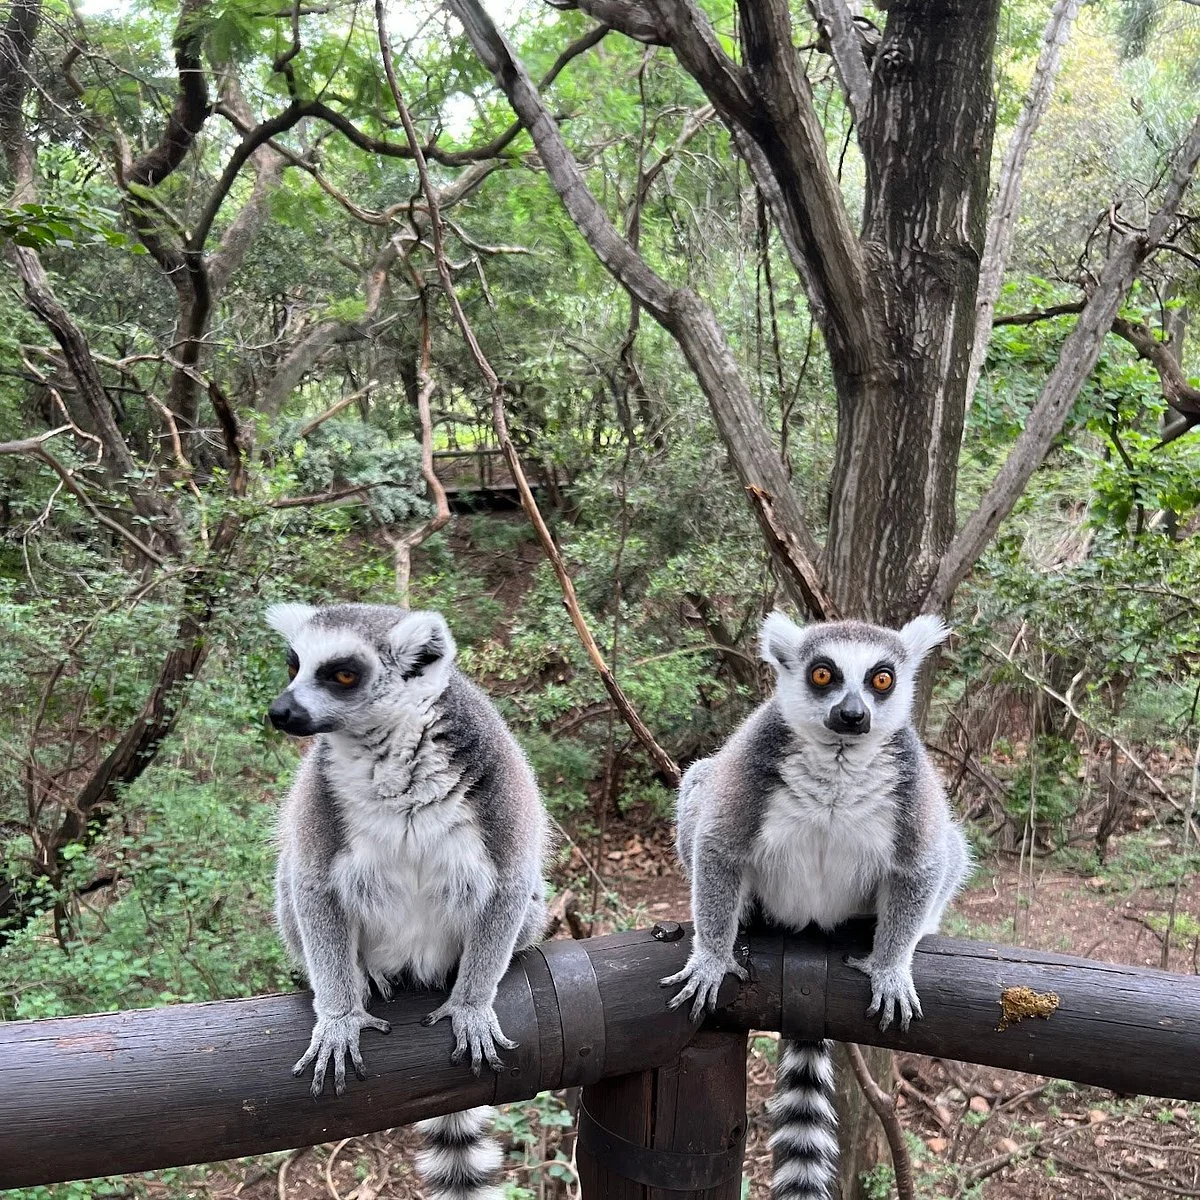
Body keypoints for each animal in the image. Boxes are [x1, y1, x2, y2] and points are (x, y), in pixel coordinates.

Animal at [266, 602, 549, 1200]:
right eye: (294, 664)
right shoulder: (319, 793)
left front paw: (470, 1007)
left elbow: (512, 878)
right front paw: (340, 1018)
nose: (281, 711)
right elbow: (311, 883)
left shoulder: (498, 774)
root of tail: (415, 965)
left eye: (342, 674)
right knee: (291, 884)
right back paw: (368, 975)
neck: (388, 749)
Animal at [662, 611, 970, 1200]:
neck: (838, 760)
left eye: (881, 679)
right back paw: (746, 916)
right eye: (823, 674)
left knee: (949, 844)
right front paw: (712, 957)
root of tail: (810, 924)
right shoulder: (757, 752)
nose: (852, 715)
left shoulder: (911, 776)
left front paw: (891, 968)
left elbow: (920, 863)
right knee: (701, 779)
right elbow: (718, 843)